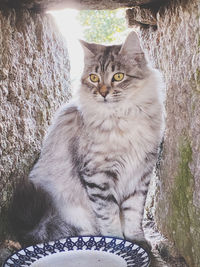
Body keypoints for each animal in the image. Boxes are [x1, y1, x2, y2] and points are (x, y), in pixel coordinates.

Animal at [9, 31, 164, 251]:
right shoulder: (98, 175)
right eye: (94, 78)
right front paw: (117, 243)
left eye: (118, 76)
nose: (103, 92)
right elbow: (109, 216)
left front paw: (137, 240)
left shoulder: (141, 173)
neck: (123, 118)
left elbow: (134, 213)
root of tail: (45, 222)